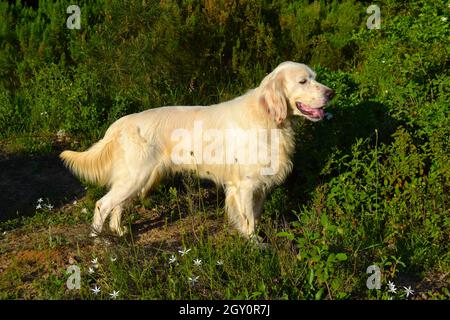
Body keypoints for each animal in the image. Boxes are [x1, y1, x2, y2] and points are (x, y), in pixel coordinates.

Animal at [61, 61, 332, 239]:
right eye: (303, 81)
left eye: (315, 77)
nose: (331, 93)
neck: (268, 118)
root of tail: (120, 124)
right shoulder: (244, 185)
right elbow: (248, 222)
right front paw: (255, 246)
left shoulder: (259, 186)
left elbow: (253, 216)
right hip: (134, 177)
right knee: (102, 204)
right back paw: (99, 239)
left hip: (136, 180)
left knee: (116, 206)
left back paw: (118, 232)